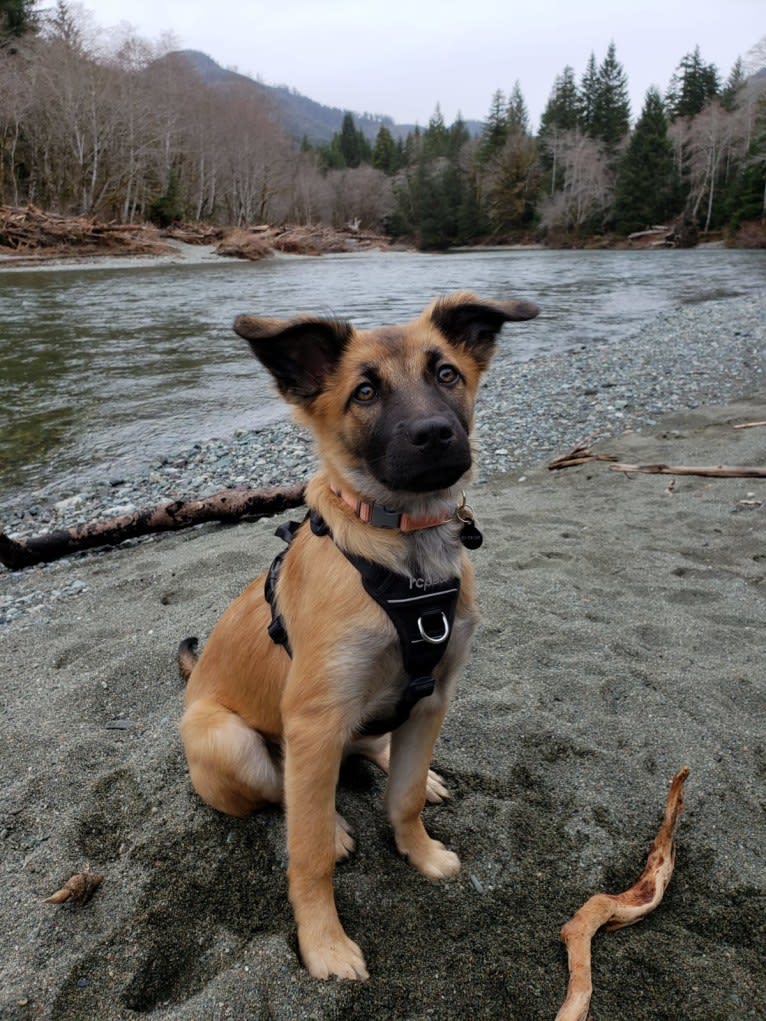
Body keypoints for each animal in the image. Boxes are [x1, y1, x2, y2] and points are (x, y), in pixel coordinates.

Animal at [179, 289, 539, 980]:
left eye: (446, 374)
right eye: (364, 393)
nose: (436, 436)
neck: (405, 558)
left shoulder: (431, 697)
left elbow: (403, 798)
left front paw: (420, 851)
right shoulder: (314, 718)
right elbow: (308, 852)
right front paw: (323, 943)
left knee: (367, 745)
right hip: (227, 741)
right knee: (285, 791)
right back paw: (332, 822)